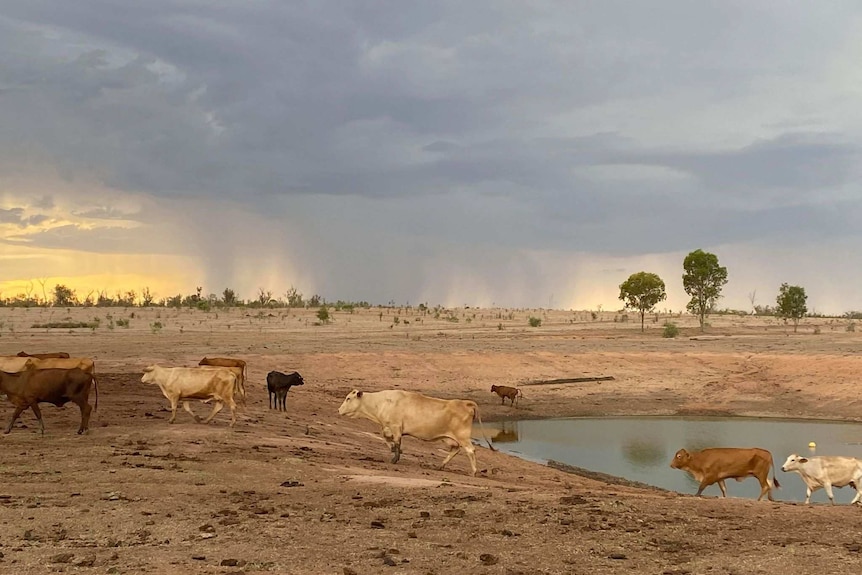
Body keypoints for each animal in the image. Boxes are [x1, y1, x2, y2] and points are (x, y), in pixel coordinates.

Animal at [340, 392, 496, 476]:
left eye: (348, 398)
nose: (339, 410)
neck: (382, 402)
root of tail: (465, 403)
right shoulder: (387, 427)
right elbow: (387, 438)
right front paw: (393, 450)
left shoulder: (396, 427)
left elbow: (396, 442)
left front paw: (395, 458)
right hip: (450, 438)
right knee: (455, 450)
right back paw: (441, 466)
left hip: (463, 436)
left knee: (470, 450)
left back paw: (473, 471)